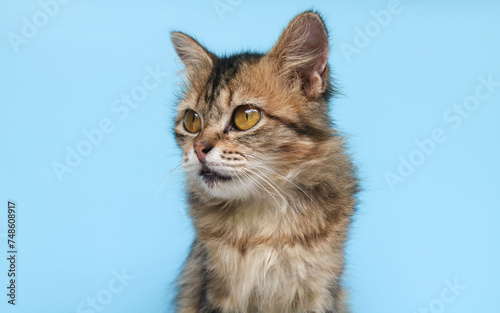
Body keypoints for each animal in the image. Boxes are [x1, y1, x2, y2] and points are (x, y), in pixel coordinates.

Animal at [170, 10, 358, 312]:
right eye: (192, 121)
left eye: (246, 117)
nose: (199, 149)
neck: (264, 217)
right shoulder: (214, 289)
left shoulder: (319, 289)